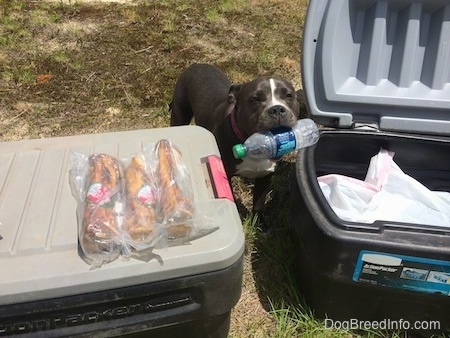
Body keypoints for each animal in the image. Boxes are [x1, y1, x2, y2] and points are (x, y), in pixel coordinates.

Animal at [169, 63, 298, 215]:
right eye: (255, 99)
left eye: (289, 95)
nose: (277, 109)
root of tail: (196, 65)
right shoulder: (225, 175)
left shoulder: (266, 176)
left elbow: (258, 204)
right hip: (179, 113)